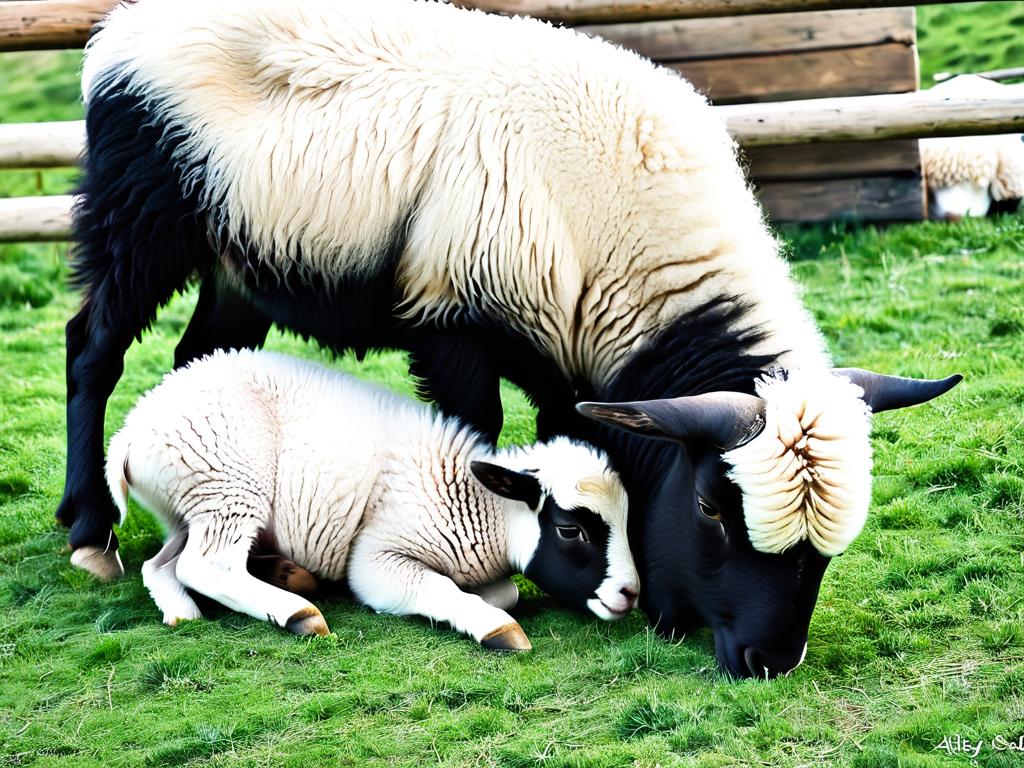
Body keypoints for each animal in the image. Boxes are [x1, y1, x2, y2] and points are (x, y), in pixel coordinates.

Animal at [101, 350, 630, 651]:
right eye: (570, 530)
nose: (630, 593)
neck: (480, 505)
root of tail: (130, 433)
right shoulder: (378, 556)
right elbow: (440, 588)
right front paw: (493, 626)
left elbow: (507, 590)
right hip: (229, 486)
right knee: (206, 565)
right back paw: (296, 612)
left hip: (195, 504)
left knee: (161, 564)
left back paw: (198, 607)